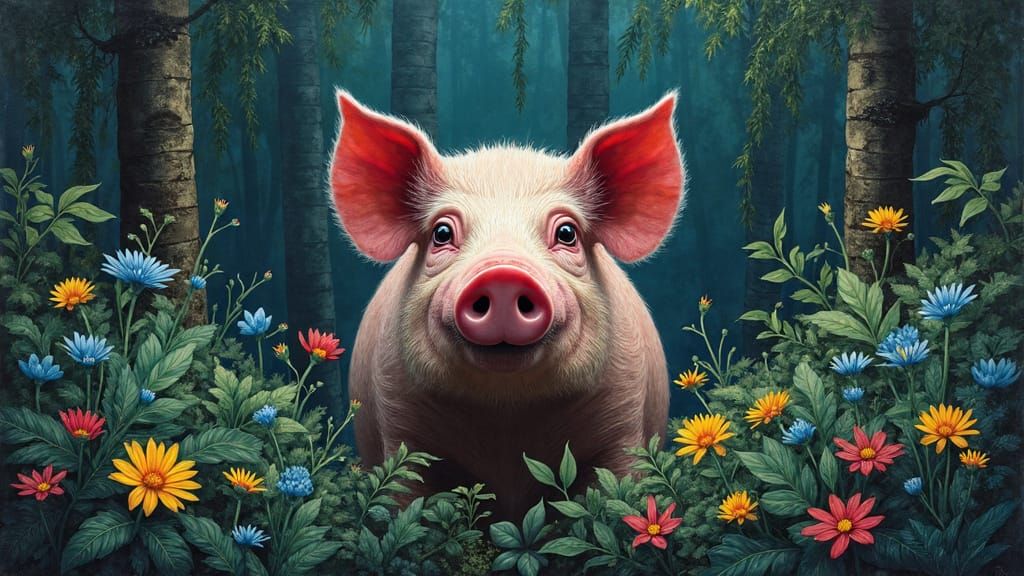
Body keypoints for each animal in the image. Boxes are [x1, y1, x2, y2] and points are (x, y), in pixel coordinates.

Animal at [329, 91, 685, 520]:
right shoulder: (400, 424)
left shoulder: (623, 423)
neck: (507, 420)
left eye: (567, 233)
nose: (502, 274)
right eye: (441, 233)